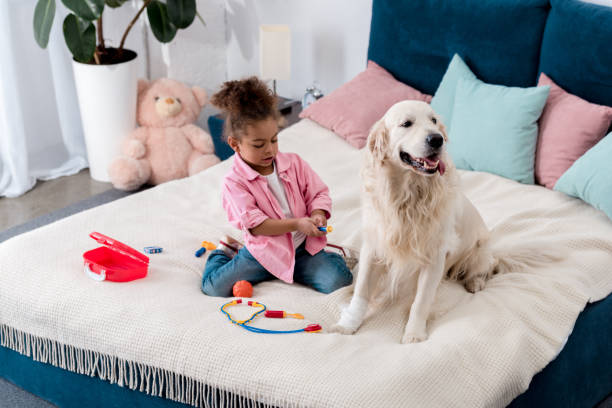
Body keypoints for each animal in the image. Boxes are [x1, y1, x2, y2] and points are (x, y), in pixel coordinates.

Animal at [332, 100, 556, 342]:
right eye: (406, 123)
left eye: (434, 121)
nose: (436, 139)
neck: (408, 196)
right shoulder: (374, 246)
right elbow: (362, 291)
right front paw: (348, 324)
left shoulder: (434, 255)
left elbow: (421, 301)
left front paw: (414, 333)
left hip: (479, 252)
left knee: (486, 268)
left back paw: (475, 282)